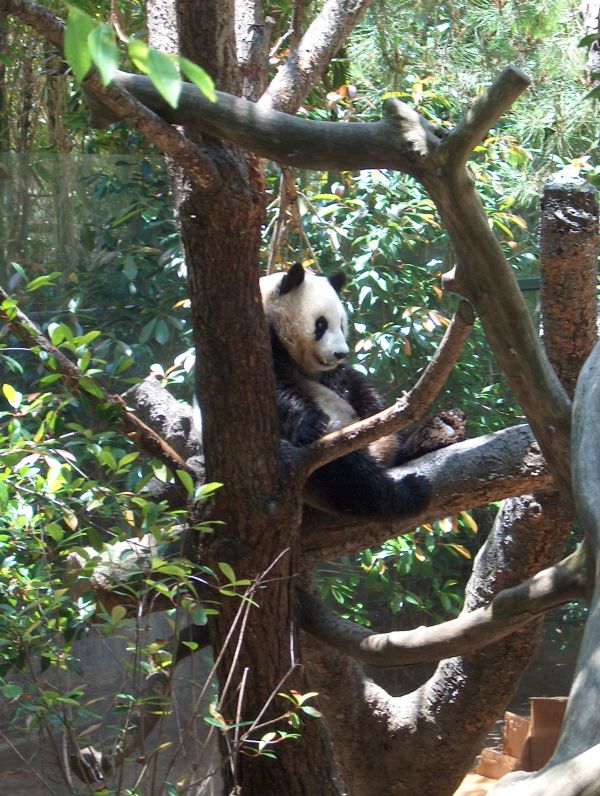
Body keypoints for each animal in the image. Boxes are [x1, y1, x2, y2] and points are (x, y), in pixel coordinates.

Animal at [258, 264, 432, 520]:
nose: (340, 353)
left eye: (341, 323)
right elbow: (278, 390)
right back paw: (407, 493)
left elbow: (354, 386)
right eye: (320, 324)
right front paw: (310, 423)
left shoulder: (330, 373)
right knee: (350, 474)